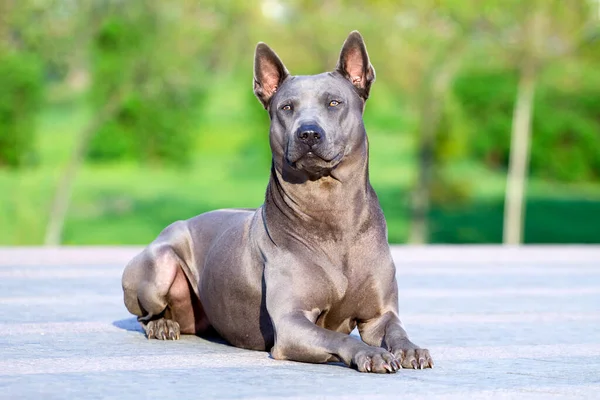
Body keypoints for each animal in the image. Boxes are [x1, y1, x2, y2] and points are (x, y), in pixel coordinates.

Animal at [122, 30, 432, 372]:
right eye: (286, 107)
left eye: (334, 102)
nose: (308, 133)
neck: (332, 213)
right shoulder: (291, 323)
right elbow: (339, 338)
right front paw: (371, 354)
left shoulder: (380, 315)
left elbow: (396, 330)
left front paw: (411, 350)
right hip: (160, 262)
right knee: (144, 315)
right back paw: (162, 324)